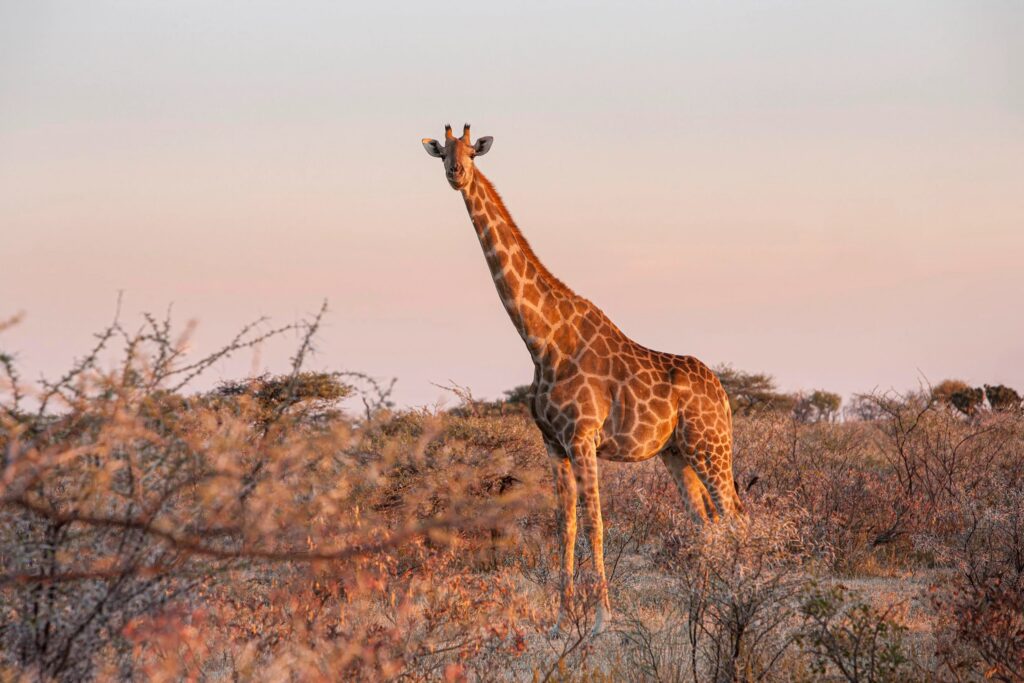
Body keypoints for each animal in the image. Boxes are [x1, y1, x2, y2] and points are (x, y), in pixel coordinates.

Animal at [422, 124, 744, 635]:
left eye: (471, 151)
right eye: (442, 152)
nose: (456, 173)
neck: (542, 339)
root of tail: (724, 395)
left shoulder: (583, 438)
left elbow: (595, 522)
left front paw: (600, 619)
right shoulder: (553, 443)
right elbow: (565, 524)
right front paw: (560, 619)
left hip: (710, 446)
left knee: (734, 517)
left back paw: (739, 599)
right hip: (676, 453)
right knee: (705, 521)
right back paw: (708, 608)